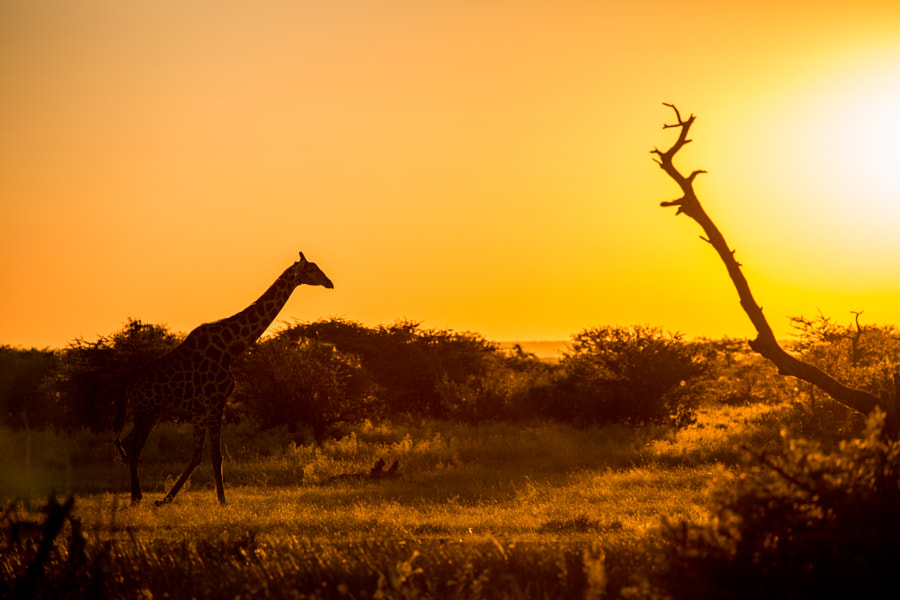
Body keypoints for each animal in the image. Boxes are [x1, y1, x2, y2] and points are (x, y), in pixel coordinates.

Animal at [114, 251, 332, 504]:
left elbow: (196, 455)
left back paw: (137, 495)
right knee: (133, 447)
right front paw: (222, 500)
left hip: (151, 413)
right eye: (311, 269)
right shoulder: (216, 401)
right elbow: (215, 454)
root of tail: (128, 389)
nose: (329, 282)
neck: (231, 348)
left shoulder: (200, 410)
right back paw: (135, 497)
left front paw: (166, 499)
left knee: (126, 443)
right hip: (147, 412)